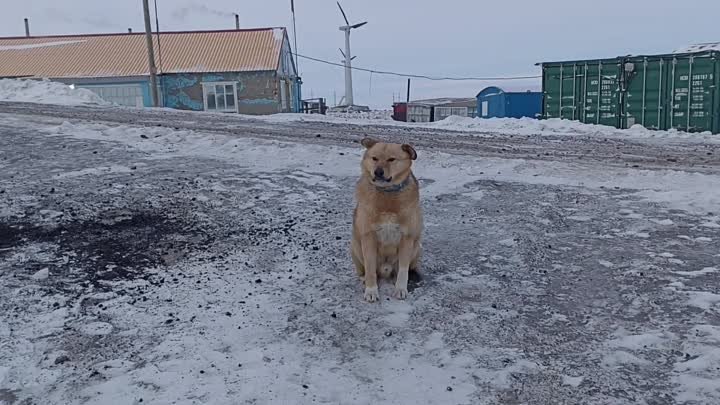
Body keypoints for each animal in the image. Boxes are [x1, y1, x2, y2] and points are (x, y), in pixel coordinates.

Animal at [350, 136, 422, 300]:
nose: (378, 172)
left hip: (417, 246)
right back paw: (363, 278)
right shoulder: (368, 237)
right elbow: (370, 269)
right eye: (374, 158)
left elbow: (403, 270)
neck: (387, 193)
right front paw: (371, 290)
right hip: (355, 245)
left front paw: (401, 289)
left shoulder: (407, 238)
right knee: (365, 270)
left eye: (391, 159)